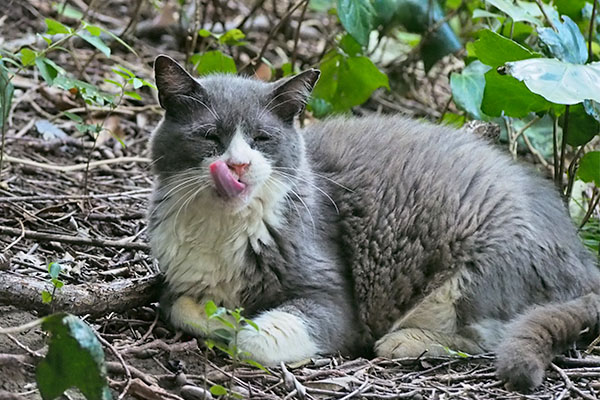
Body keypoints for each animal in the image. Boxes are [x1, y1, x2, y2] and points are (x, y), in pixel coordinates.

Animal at [149, 54, 600, 392]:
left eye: (262, 138)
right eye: (210, 136)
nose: (238, 164)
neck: (223, 228)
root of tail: (583, 258)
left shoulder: (333, 296)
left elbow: (254, 338)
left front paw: (234, 325)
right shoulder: (177, 277)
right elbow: (176, 305)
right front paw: (219, 316)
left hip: (479, 265)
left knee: (486, 336)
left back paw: (405, 341)